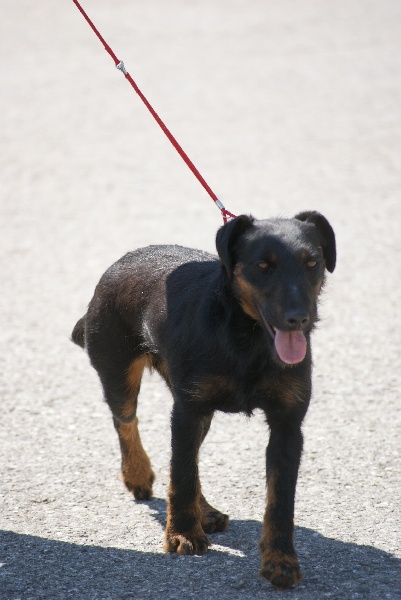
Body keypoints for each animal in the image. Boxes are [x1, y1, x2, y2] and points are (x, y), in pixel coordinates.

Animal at [71, 212, 334, 592]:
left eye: (312, 263)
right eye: (262, 265)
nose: (299, 318)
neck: (247, 337)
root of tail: (118, 264)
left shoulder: (287, 425)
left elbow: (280, 500)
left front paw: (281, 559)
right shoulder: (188, 410)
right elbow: (181, 475)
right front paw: (182, 534)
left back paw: (205, 510)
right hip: (118, 370)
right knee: (126, 421)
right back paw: (138, 473)